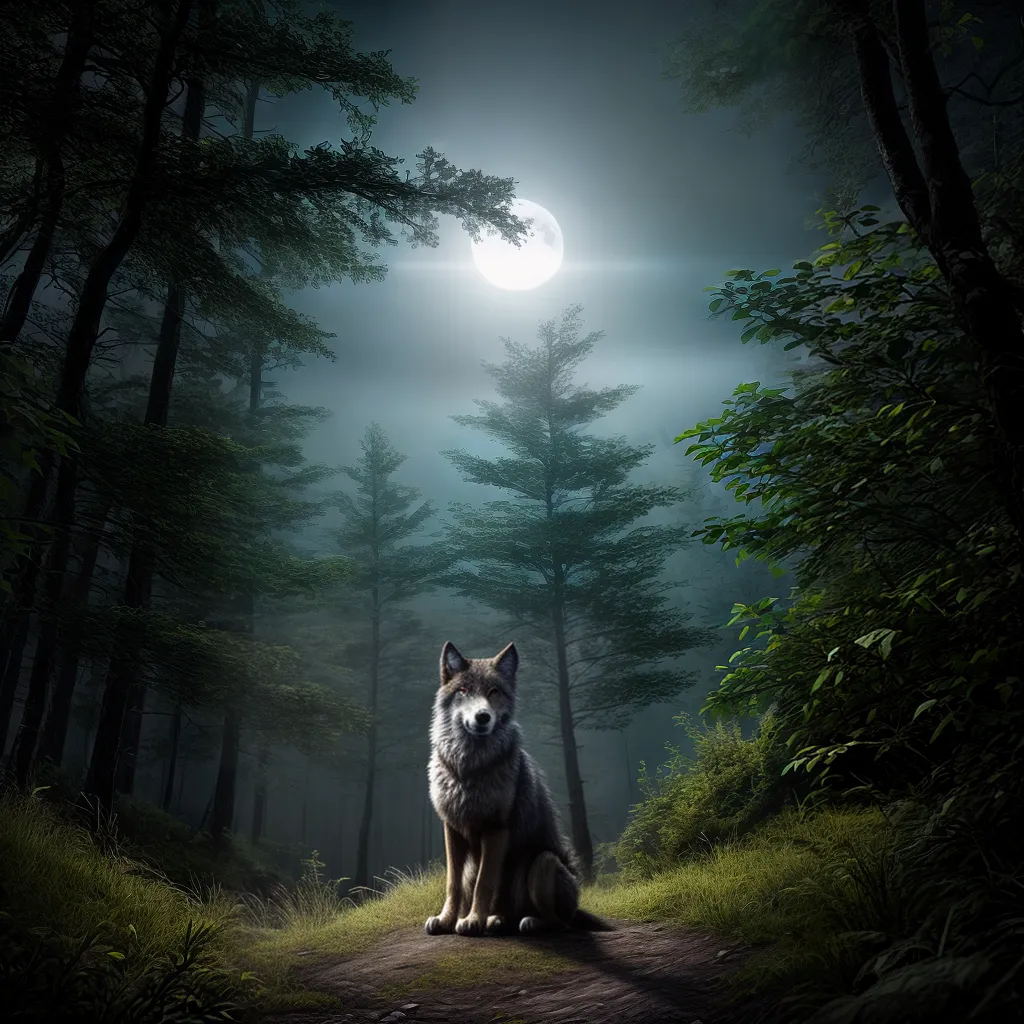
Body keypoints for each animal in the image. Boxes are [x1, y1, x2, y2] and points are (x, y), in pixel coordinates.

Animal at [425, 640, 612, 937]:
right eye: (464, 691)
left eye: (494, 691)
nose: (482, 717)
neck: (469, 767)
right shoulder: (451, 828)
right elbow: (452, 884)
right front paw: (446, 920)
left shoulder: (496, 829)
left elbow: (485, 882)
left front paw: (472, 921)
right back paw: (496, 920)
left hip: (543, 863)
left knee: (560, 923)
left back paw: (527, 922)